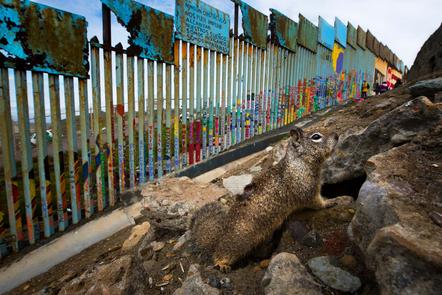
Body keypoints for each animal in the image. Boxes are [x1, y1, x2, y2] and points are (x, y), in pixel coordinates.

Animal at [190, 127, 348, 272]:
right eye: (316, 137)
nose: (337, 135)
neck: (300, 163)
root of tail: (218, 235)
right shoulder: (307, 190)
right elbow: (316, 202)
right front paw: (330, 201)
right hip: (237, 242)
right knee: (221, 253)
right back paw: (222, 264)